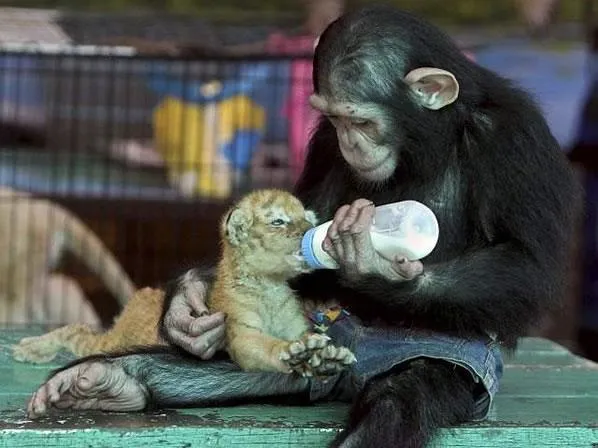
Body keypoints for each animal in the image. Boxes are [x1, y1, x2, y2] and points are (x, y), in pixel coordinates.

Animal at [24, 6, 580, 448]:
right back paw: (109, 379)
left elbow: (524, 263)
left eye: (363, 121)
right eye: (335, 121)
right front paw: (187, 305)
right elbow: (300, 214)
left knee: (399, 398)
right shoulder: (320, 150)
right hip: (312, 336)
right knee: (219, 368)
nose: (352, 144)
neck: (434, 134)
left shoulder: (516, 139)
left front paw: (372, 265)